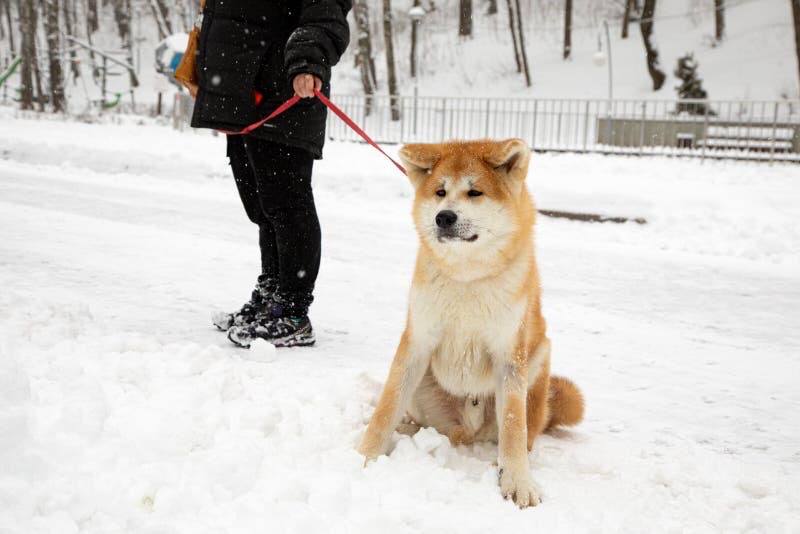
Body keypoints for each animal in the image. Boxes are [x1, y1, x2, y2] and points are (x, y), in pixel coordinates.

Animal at [360, 139, 584, 510]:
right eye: (440, 191)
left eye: (475, 192)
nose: (444, 216)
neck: (467, 278)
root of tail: (470, 431)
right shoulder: (417, 341)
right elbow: (386, 407)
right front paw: (364, 455)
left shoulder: (509, 355)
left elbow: (513, 428)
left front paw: (517, 481)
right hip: (424, 388)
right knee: (427, 424)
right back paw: (408, 431)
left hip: (538, 360)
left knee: (521, 435)